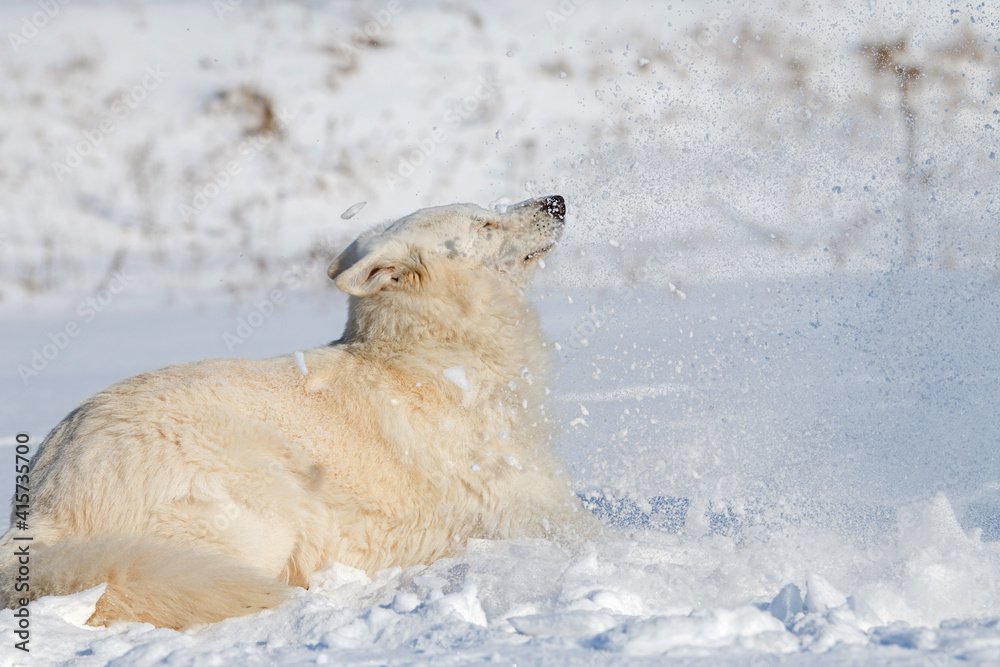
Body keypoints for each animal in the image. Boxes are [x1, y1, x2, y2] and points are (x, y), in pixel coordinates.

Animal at [0, 196, 600, 628]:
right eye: (485, 223)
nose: (557, 200)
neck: (436, 357)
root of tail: (43, 510)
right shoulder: (541, 515)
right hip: (262, 495)